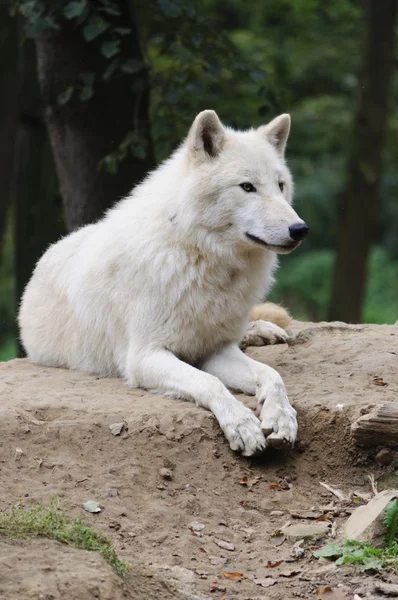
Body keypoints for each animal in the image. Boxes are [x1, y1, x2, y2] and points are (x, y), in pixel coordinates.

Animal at [20, 110, 310, 454]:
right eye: (247, 186)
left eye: (280, 185)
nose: (300, 229)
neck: (202, 259)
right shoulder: (145, 357)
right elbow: (209, 382)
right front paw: (242, 425)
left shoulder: (215, 351)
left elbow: (272, 375)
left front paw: (281, 417)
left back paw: (263, 330)